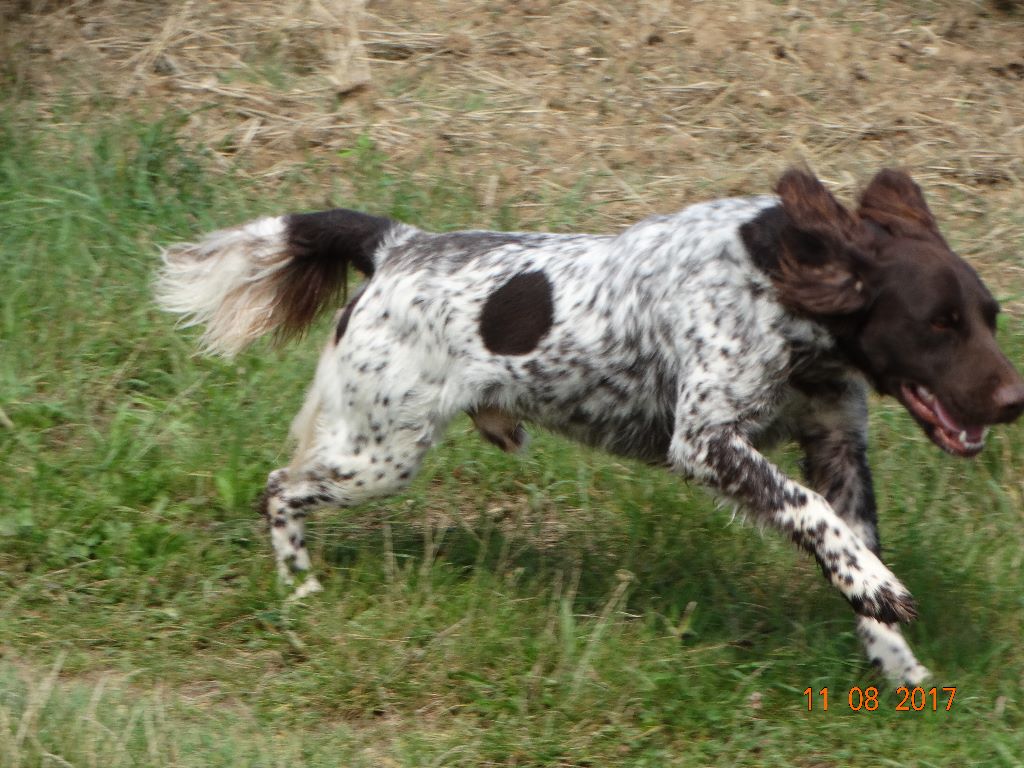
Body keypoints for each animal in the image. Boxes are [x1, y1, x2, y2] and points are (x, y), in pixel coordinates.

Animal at [157, 168, 1024, 683]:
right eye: (939, 323)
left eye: (987, 315)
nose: (1015, 399)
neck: (785, 289)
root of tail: (398, 242)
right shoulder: (706, 443)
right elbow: (811, 514)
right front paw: (880, 590)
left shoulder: (837, 444)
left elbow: (845, 541)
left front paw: (895, 657)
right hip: (380, 451)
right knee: (279, 487)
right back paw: (297, 585)